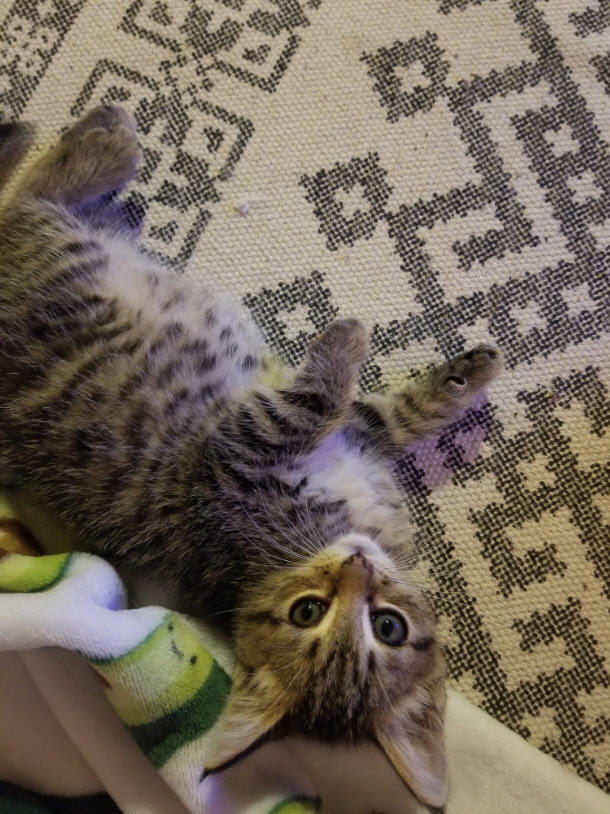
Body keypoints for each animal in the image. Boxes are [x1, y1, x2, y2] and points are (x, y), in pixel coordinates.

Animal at [0, 106, 502, 808]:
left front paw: (441, 371)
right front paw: (367, 345)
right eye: (309, 613)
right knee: (32, 194)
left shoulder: (337, 442)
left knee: (30, 201)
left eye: (389, 628)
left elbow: (378, 409)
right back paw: (108, 137)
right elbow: (337, 402)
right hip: (63, 262)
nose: (358, 569)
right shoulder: (240, 453)